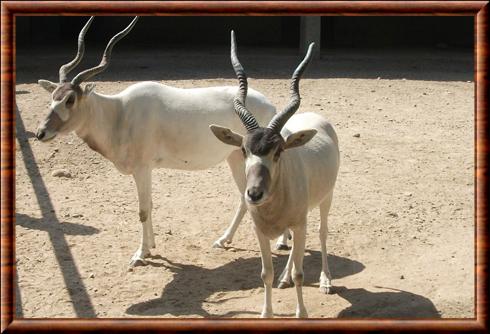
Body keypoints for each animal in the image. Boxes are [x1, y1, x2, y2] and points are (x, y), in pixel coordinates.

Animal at [35, 16, 280, 266]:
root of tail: (270, 105)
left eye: (70, 99)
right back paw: (230, 240)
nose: (41, 133)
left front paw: (140, 254)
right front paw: (151, 245)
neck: (119, 113)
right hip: (234, 157)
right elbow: (150, 205)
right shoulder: (147, 169)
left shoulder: (142, 168)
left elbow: (143, 210)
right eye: (53, 97)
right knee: (245, 197)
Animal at [211, 32, 340, 318]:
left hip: (326, 199)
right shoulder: (261, 231)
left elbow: (302, 274)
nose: (254, 194)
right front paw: (266, 313)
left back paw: (325, 280)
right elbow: (265, 274)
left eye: (278, 151)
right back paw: (284, 278)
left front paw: (301, 314)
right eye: (244, 149)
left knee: (322, 233)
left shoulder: (301, 223)